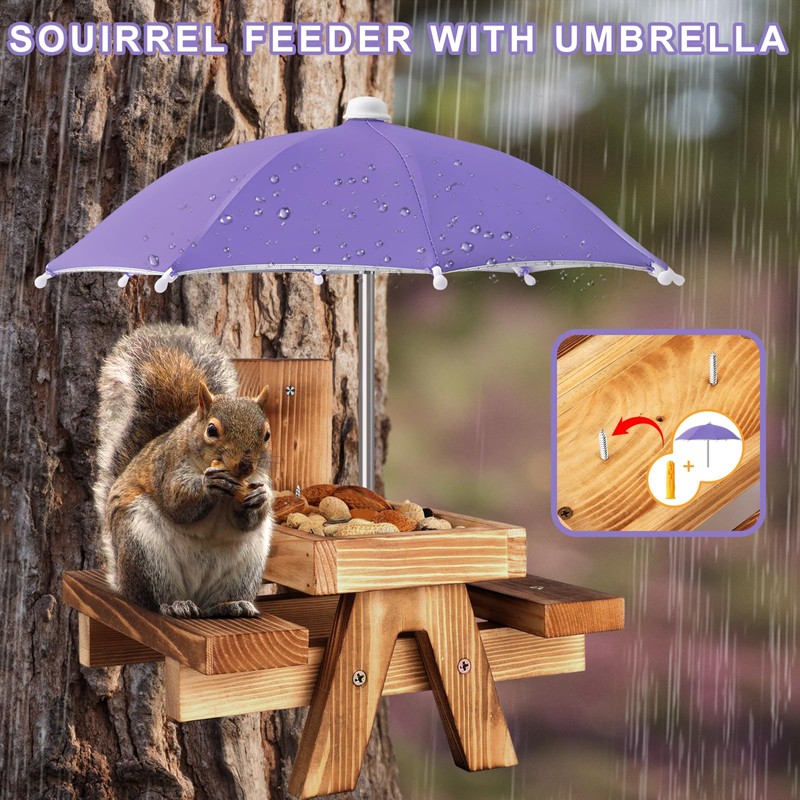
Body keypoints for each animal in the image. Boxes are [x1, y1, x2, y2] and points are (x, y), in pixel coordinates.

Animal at [93, 323, 273, 619]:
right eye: (211, 430)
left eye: (267, 434)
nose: (245, 465)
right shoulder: (167, 467)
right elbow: (176, 502)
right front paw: (209, 485)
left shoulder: (260, 476)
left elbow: (250, 519)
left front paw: (260, 498)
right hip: (143, 549)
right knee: (154, 597)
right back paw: (175, 605)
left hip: (246, 565)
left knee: (215, 603)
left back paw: (231, 604)